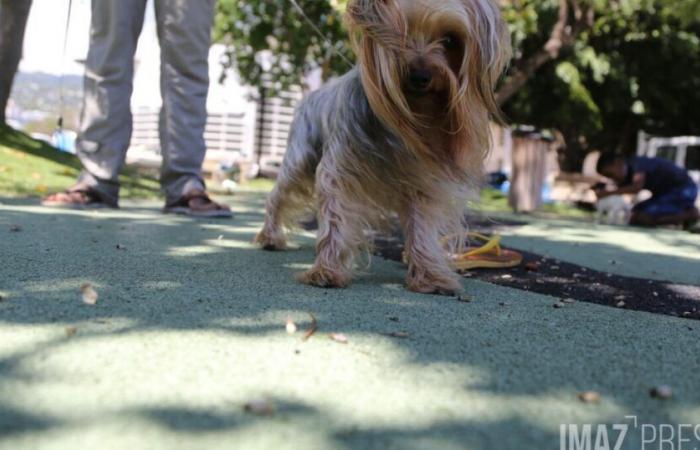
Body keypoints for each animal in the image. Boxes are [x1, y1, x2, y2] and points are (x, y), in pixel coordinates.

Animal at [256, 0, 508, 296]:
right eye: (399, 31)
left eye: (450, 40)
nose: (421, 76)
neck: (408, 118)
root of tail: (311, 95)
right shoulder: (341, 169)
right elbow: (335, 218)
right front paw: (326, 271)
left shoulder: (421, 180)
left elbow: (421, 226)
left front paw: (429, 276)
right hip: (300, 155)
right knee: (280, 192)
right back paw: (270, 237)